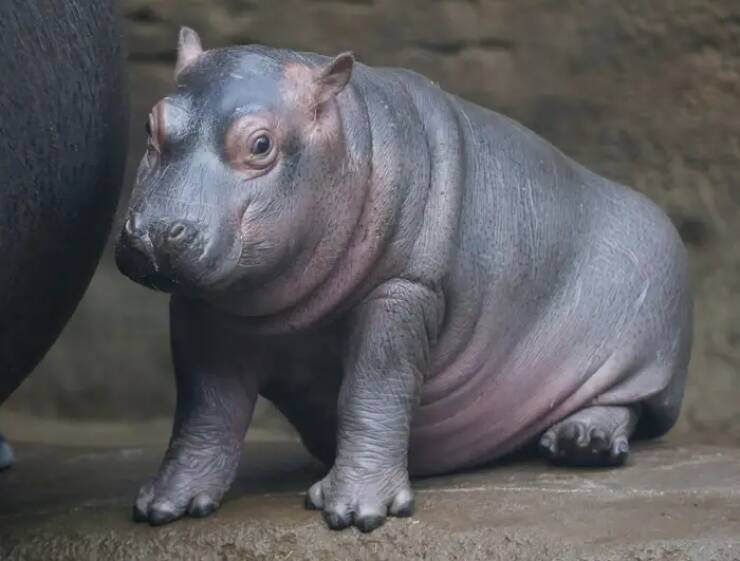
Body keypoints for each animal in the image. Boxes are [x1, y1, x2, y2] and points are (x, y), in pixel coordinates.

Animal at [117, 28, 692, 532]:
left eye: (260, 144)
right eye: (149, 125)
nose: (152, 234)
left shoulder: (404, 289)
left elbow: (374, 391)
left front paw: (354, 512)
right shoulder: (201, 308)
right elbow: (205, 409)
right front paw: (163, 504)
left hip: (648, 347)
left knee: (632, 405)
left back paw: (582, 442)